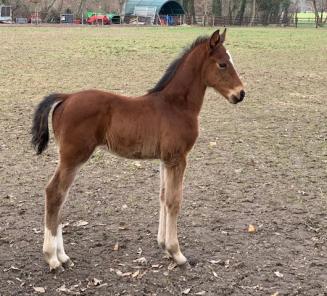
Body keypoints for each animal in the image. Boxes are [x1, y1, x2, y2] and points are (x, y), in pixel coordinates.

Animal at [31, 29, 246, 270]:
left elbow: (163, 197)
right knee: (54, 193)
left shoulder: (165, 159)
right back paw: (52, 258)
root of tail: (66, 97)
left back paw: (63, 256)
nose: (240, 94)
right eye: (222, 64)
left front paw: (164, 246)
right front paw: (177, 253)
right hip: (73, 157)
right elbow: (174, 201)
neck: (176, 105)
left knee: (61, 197)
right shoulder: (178, 158)